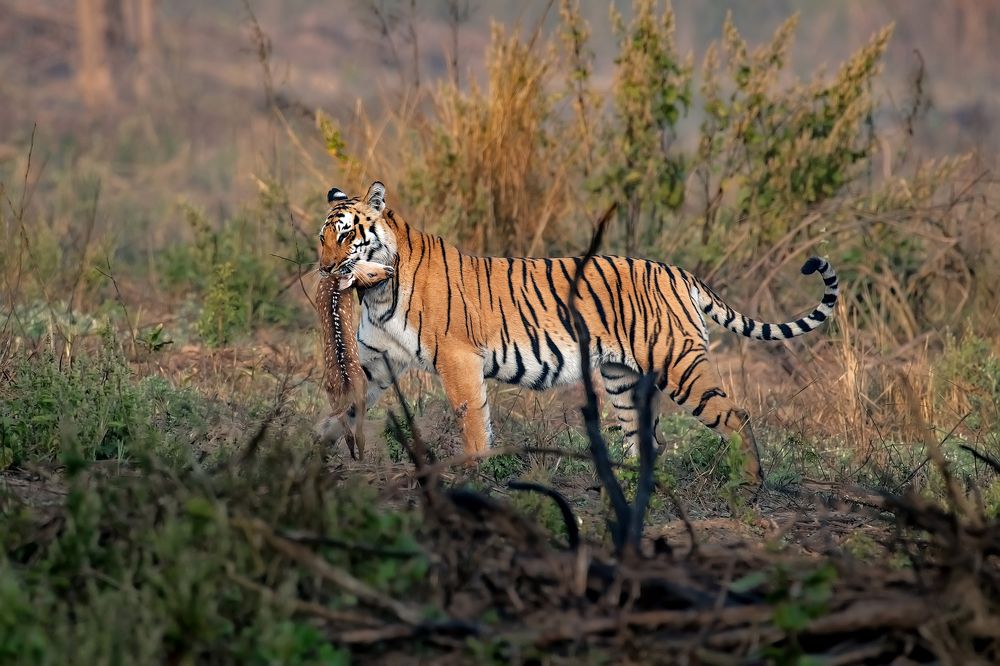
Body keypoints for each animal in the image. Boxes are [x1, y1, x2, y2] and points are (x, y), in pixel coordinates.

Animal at [316, 181, 839, 483]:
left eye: (345, 235)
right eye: (321, 237)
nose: (323, 270)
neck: (377, 291)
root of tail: (678, 272)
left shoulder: (457, 358)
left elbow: (472, 420)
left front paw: (473, 472)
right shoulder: (376, 360)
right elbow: (343, 407)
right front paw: (312, 451)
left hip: (680, 366)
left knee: (736, 416)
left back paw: (748, 484)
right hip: (622, 378)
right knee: (647, 439)